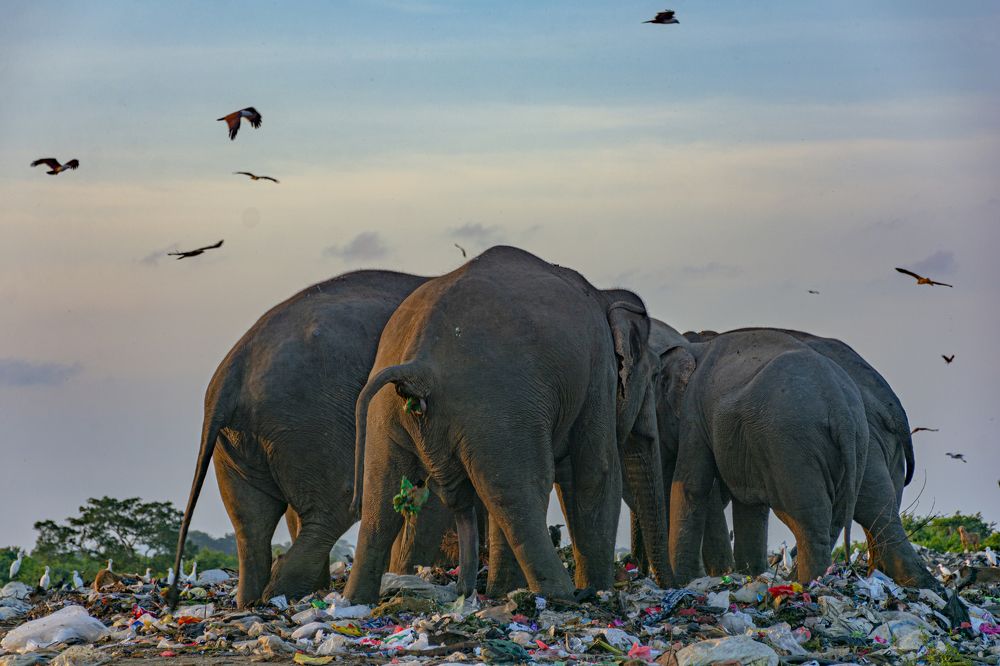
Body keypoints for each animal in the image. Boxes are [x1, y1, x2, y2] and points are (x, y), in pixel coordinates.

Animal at [171, 268, 453, 608]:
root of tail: (229, 373)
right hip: (313, 419)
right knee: (335, 506)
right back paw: (284, 594)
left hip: (245, 440)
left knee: (252, 523)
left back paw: (259, 600)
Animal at [344, 246, 669, 603]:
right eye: (654, 376)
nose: (668, 584)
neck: (604, 294)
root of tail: (419, 366)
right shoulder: (599, 373)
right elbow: (595, 473)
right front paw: (599, 591)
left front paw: (503, 592)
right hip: (496, 407)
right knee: (521, 492)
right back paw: (564, 597)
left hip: (389, 414)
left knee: (380, 503)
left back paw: (355, 602)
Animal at [660, 328, 869, 585]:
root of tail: (841, 409)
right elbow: (750, 504)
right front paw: (749, 574)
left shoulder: (693, 411)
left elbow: (692, 485)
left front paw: (683, 581)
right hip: (856, 444)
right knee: (834, 518)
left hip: (790, 442)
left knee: (808, 519)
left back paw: (809, 582)